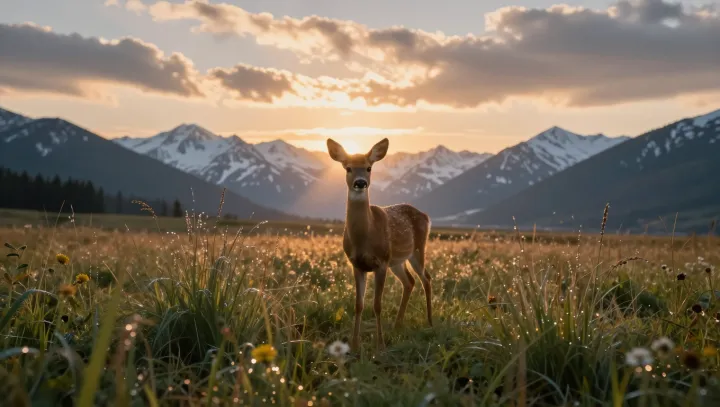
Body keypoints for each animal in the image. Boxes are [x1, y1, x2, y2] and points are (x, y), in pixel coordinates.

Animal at [326, 137, 433, 351]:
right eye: (348, 168)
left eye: (369, 168)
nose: (360, 182)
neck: (365, 237)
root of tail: (426, 216)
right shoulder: (357, 264)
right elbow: (358, 305)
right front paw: (354, 345)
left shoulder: (381, 261)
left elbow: (377, 305)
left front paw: (380, 345)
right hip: (397, 261)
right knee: (410, 281)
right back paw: (398, 324)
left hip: (417, 250)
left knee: (426, 278)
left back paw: (430, 321)